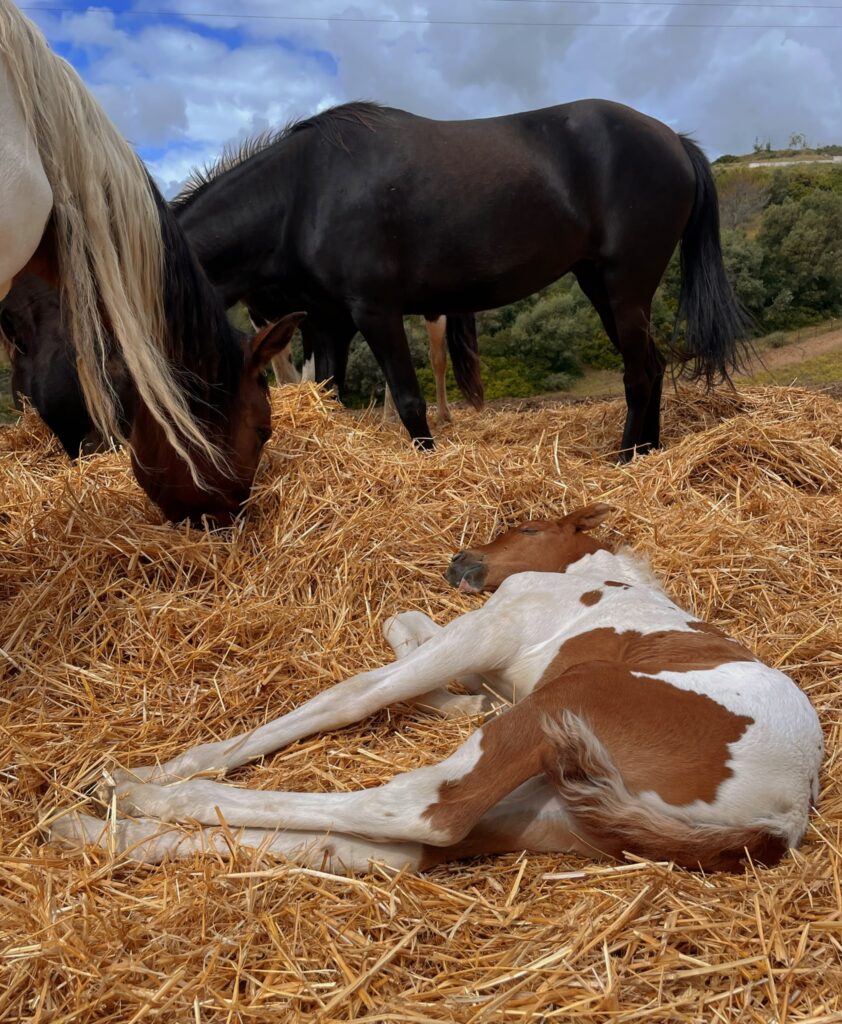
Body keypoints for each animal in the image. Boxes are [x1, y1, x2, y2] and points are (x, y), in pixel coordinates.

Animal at [50, 504, 822, 874]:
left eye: (528, 526)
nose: (459, 559)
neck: (596, 582)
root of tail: (778, 821)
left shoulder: (491, 629)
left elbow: (355, 694)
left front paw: (169, 767)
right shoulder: (488, 654)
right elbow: (406, 634)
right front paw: (459, 703)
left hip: (561, 712)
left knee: (417, 812)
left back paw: (145, 795)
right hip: (555, 809)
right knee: (387, 849)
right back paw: (97, 830)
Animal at [169, 100, 747, 458]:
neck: (304, 190)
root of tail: (673, 139)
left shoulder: (374, 311)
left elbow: (408, 402)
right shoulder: (329, 324)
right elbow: (328, 396)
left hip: (625, 288)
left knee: (639, 374)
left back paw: (626, 458)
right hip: (602, 288)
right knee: (652, 366)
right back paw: (648, 452)